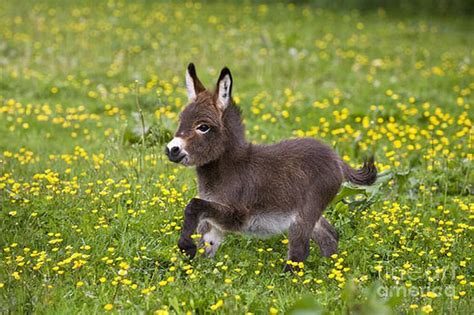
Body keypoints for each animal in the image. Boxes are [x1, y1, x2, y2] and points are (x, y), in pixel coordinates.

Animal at [165, 64, 376, 272]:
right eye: (181, 121)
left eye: (203, 127)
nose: (171, 150)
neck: (228, 167)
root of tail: (336, 159)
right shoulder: (214, 219)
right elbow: (206, 241)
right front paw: (196, 268)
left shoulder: (237, 216)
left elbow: (193, 205)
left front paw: (186, 247)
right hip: (311, 213)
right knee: (329, 235)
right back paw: (332, 271)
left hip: (305, 213)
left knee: (300, 251)